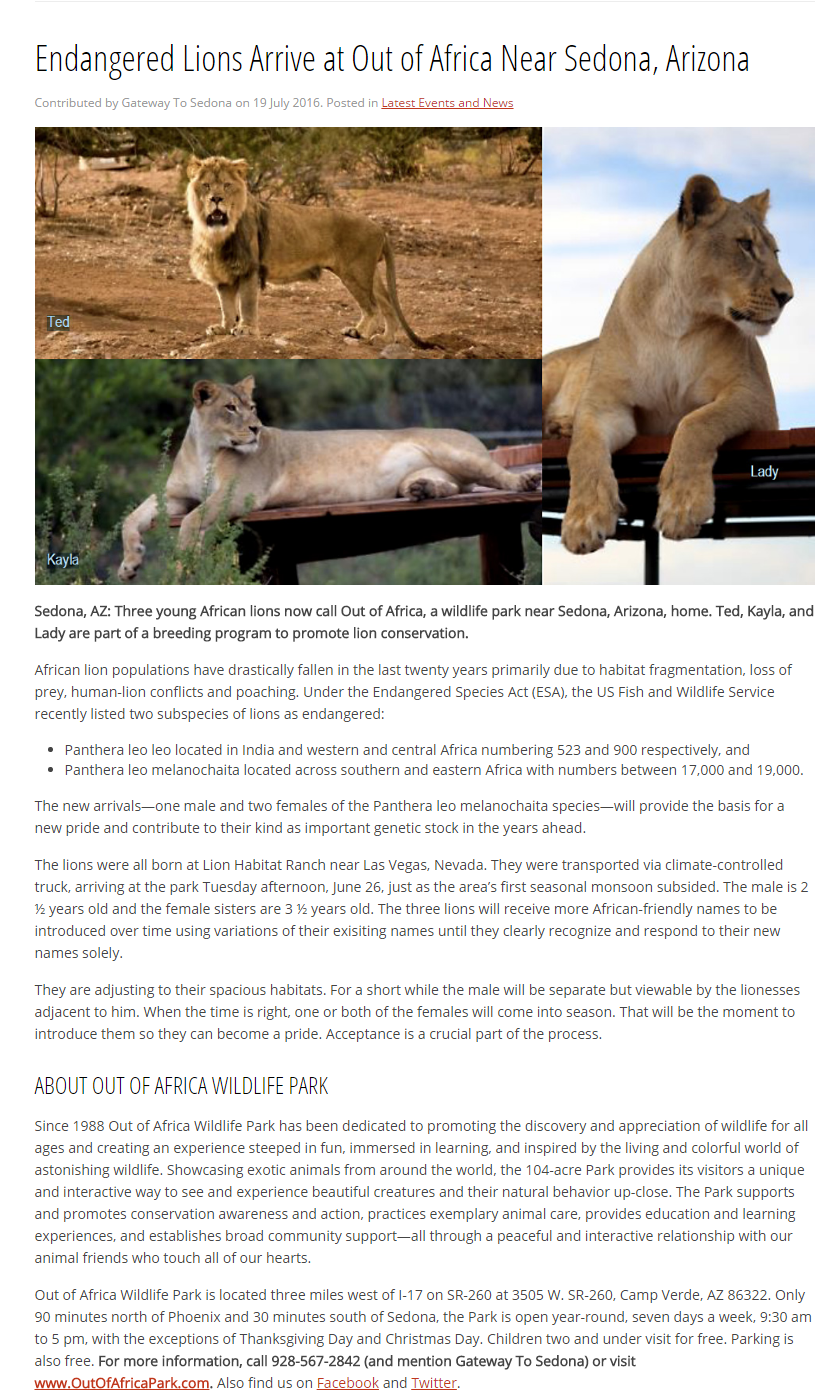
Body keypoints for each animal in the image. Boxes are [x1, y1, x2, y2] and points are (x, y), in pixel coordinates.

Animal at [119, 378, 540, 582]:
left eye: (252, 407)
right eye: (230, 408)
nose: (256, 428)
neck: (207, 447)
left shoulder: (244, 495)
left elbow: (192, 521)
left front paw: (182, 565)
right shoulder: (173, 497)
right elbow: (131, 518)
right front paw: (129, 564)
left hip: (457, 453)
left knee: (493, 475)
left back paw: (526, 482)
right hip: (424, 475)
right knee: (450, 486)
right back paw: (423, 490)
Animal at [186, 156, 433, 348]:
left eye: (227, 185)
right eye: (206, 186)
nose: (216, 199)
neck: (216, 234)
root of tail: (380, 228)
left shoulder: (249, 268)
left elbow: (246, 302)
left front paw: (245, 329)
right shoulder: (222, 274)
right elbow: (226, 306)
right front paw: (224, 328)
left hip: (355, 272)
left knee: (373, 307)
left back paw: (361, 333)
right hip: (369, 273)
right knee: (387, 304)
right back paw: (385, 338)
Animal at [542, 174, 793, 553]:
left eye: (775, 252)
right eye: (745, 245)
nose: (787, 295)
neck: (676, 320)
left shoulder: (756, 399)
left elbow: (696, 422)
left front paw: (682, 505)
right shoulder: (604, 405)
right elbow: (583, 451)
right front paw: (584, 520)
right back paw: (560, 428)